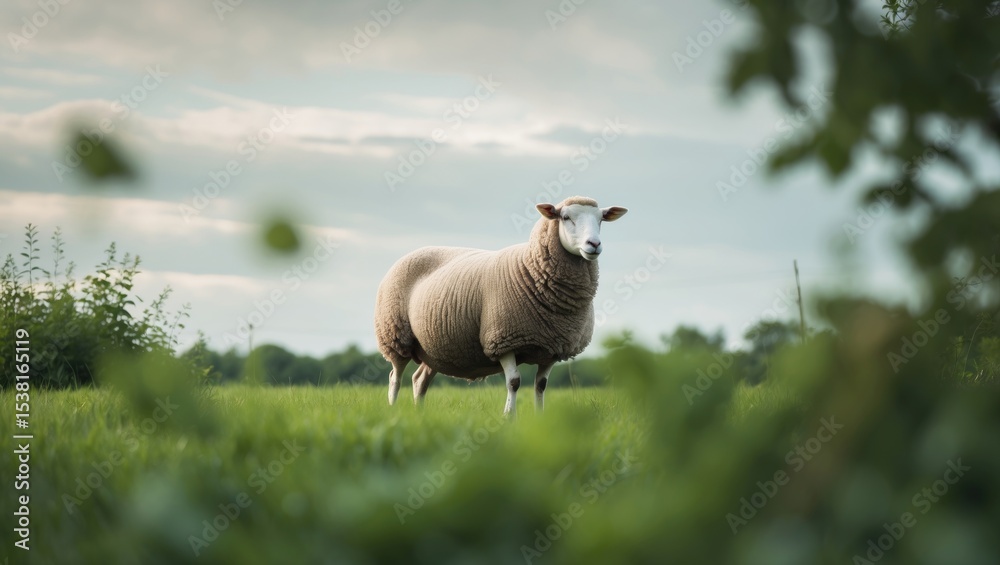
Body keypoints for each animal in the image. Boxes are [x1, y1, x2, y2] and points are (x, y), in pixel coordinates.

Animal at [374, 196, 628, 415]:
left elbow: (541, 385)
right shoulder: (503, 340)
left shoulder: (552, 347)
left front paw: (540, 418)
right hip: (395, 336)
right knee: (395, 377)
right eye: (565, 217)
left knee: (419, 380)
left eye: (601, 219)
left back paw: (420, 414)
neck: (531, 268)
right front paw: (509, 416)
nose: (594, 244)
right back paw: (393, 410)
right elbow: (514, 382)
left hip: (434, 349)